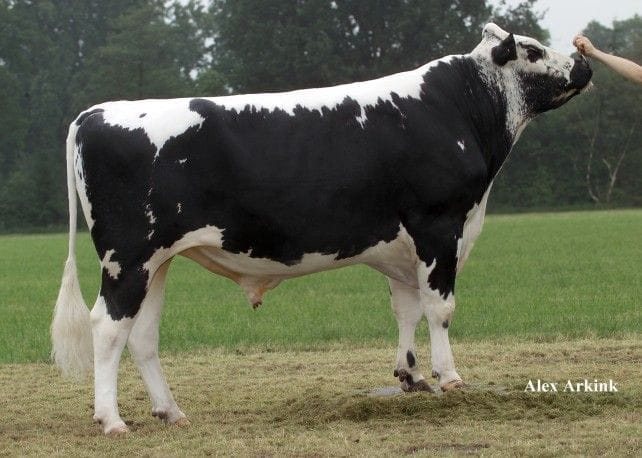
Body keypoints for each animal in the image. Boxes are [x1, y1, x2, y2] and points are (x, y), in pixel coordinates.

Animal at [52, 23, 592, 434]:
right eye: (533, 50)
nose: (584, 63)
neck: (457, 108)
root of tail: (96, 112)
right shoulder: (439, 227)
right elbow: (440, 309)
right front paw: (450, 378)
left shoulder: (402, 245)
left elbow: (407, 309)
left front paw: (410, 377)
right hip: (127, 258)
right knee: (107, 327)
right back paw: (112, 420)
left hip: (156, 261)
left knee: (141, 335)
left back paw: (171, 411)